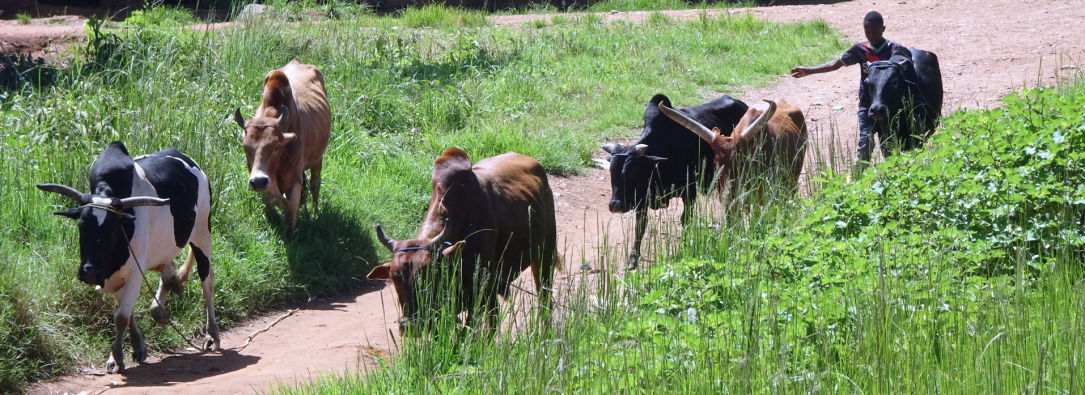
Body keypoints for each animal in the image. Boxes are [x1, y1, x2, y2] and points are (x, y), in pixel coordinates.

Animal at [38, 142, 220, 373]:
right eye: (81, 225)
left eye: (111, 228)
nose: (89, 272)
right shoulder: (113, 275)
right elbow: (126, 312)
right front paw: (136, 347)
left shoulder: (134, 271)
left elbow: (121, 317)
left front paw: (117, 357)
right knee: (168, 269)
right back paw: (162, 303)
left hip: (202, 234)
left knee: (207, 283)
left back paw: (212, 335)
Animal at [231, 60, 327, 233]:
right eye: (246, 148)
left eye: (276, 147)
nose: (259, 181)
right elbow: (271, 200)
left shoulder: (293, 180)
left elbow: (290, 207)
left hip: (318, 158)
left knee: (315, 183)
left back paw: (315, 212)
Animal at [603, 93, 746, 270]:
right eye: (611, 170)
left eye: (633, 171)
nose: (615, 204)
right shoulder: (641, 200)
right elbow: (640, 227)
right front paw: (633, 259)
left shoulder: (690, 192)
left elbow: (686, 219)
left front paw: (684, 248)